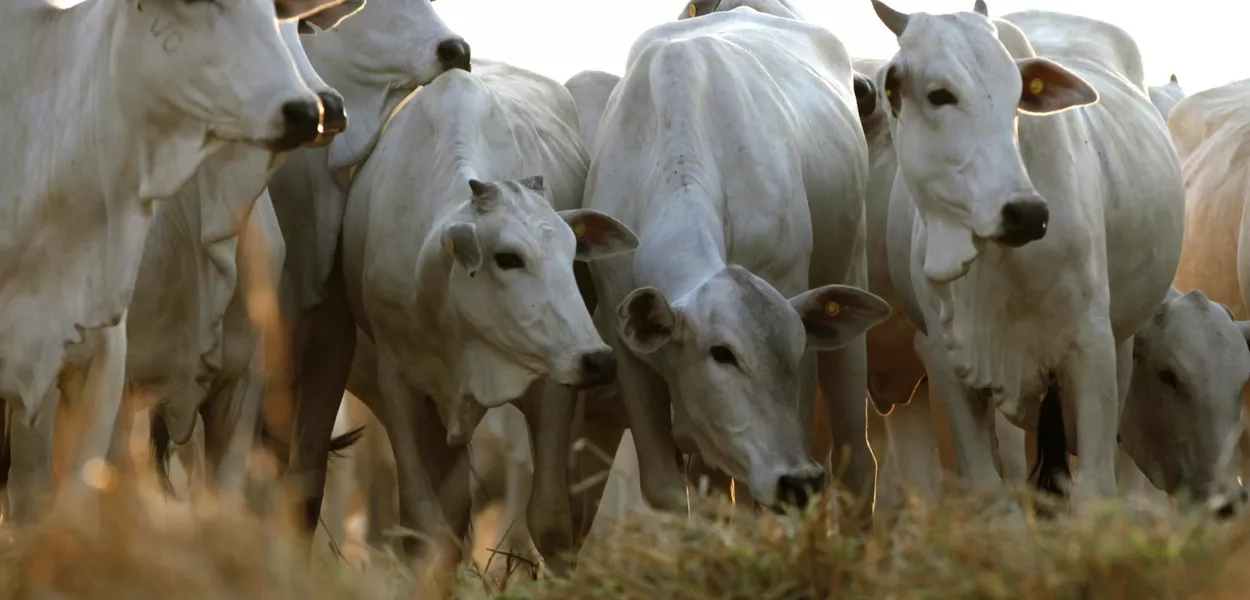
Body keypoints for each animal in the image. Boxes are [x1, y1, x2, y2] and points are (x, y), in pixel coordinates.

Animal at [340, 58, 640, 560]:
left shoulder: (552, 384)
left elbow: (551, 520)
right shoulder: (398, 383)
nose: (598, 360)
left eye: (573, 254)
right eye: (508, 258)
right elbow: (426, 522)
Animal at [585, 7, 890, 515]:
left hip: (849, 269)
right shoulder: (625, 342)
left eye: (795, 347)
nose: (799, 481)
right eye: (722, 352)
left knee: (857, 466)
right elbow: (669, 489)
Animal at [870, 0, 1180, 507]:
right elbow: (988, 482)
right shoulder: (945, 356)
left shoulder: (1091, 345)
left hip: (1121, 340)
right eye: (939, 94)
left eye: (1017, 93)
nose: (1026, 213)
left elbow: (1094, 488)